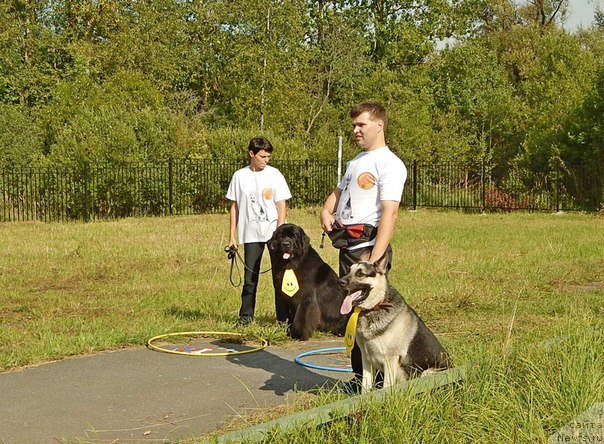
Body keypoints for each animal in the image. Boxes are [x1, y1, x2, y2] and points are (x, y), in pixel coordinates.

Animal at [340, 253, 448, 392]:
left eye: (360, 274)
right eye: (348, 271)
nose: (340, 282)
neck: (376, 305)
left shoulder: (389, 360)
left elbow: (386, 387)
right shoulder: (366, 359)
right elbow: (366, 387)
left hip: (427, 372)